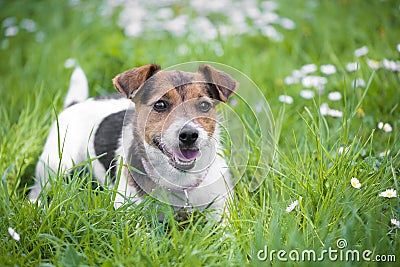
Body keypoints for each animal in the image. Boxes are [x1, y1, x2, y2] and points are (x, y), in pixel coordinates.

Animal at [32, 63, 238, 221]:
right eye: (160, 104)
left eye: (204, 106)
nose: (189, 134)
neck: (178, 180)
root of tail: (75, 104)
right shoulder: (127, 211)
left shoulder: (222, 207)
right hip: (56, 165)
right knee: (38, 190)